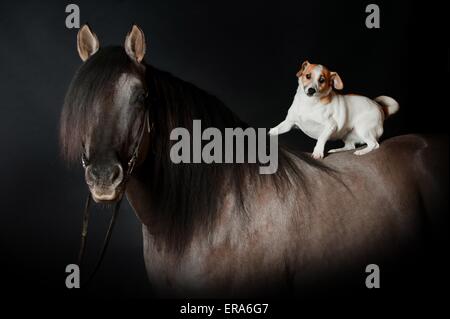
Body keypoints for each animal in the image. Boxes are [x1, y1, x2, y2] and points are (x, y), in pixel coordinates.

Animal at [268, 61, 400, 159]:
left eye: (322, 80)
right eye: (308, 76)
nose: (311, 90)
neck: (309, 103)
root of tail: (380, 107)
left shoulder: (330, 126)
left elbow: (321, 138)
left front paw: (318, 152)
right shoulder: (288, 124)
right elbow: (276, 129)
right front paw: (268, 133)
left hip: (363, 129)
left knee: (374, 144)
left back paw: (362, 152)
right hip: (347, 135)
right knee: (350, 146)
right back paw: (337, 150)